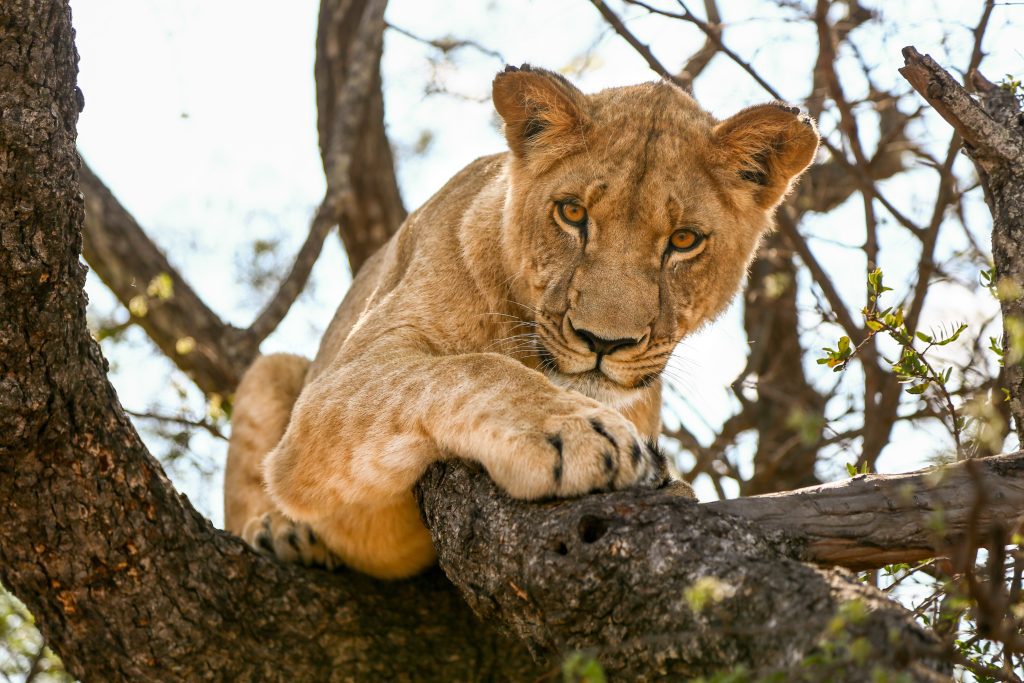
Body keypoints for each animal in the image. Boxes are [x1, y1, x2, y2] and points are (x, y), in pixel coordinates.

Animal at [223, 65, 819, 579]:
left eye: (684, 240)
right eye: (572, 213)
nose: (603, 342)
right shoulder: (336, 389)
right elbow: (470, 368)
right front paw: (577, 434)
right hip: (275, 370)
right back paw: (282, 533)